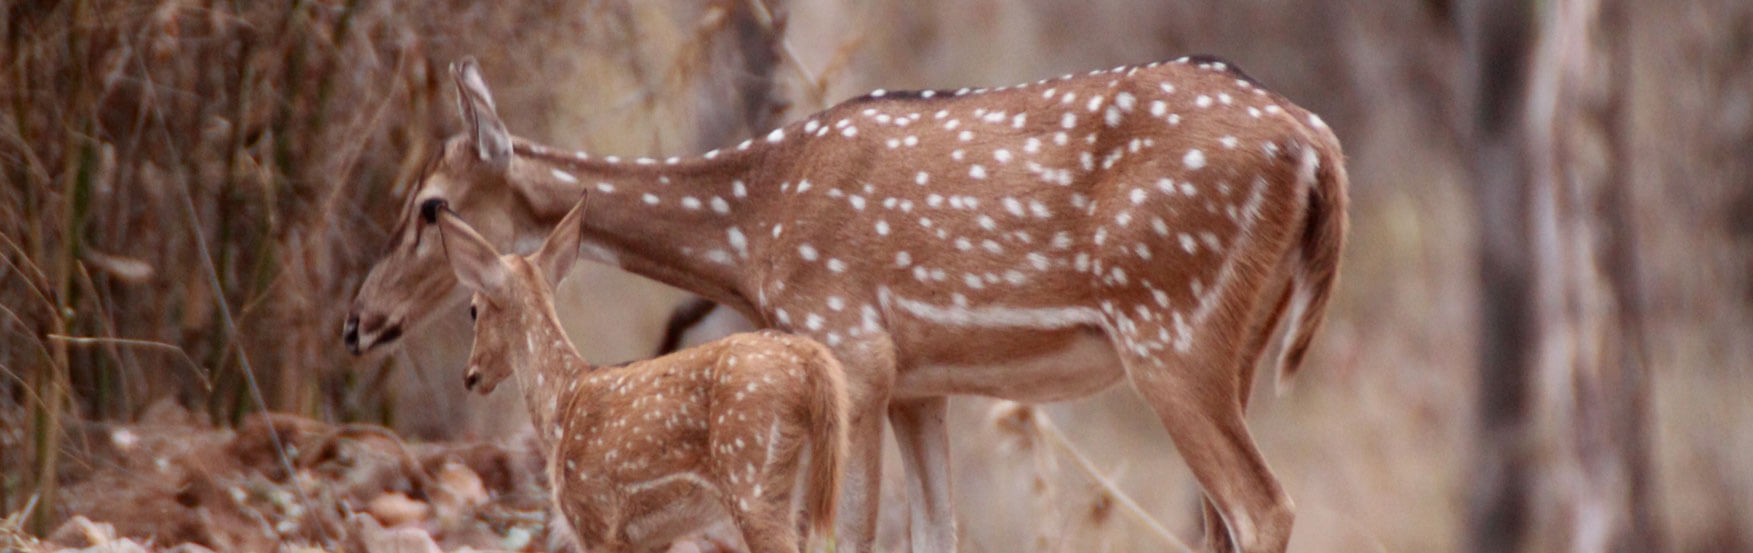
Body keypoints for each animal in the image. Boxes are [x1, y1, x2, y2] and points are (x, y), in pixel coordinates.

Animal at [436, 197, 848, 551]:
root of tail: (811, 360)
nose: (471, 375)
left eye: (473, 309)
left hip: (751, 471)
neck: (562, 404)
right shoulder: (650, 538)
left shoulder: (595, 517)